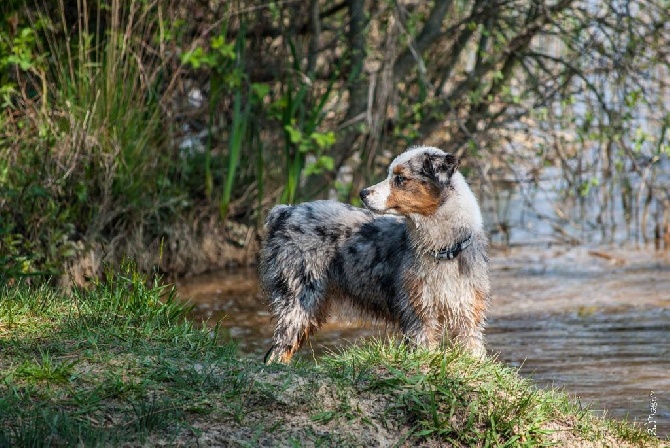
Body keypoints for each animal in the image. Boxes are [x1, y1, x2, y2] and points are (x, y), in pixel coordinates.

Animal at [260, 145, 490, 362]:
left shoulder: (468, 314)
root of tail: (286, 211)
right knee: (278, 352)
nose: (363, 193)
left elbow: (473, 351)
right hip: (299, 297)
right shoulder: (419, 313)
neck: (442, 251)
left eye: (400, 178)